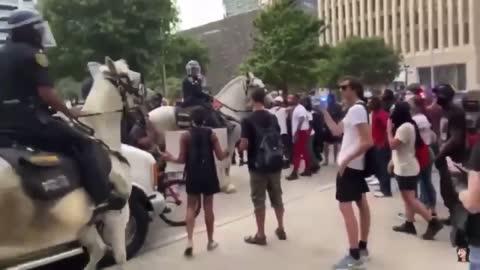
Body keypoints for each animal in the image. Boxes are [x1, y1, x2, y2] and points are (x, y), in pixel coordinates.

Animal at [0, 57, 141, 270]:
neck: (101, 133)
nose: (155, 95)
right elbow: (120, 258)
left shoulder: (84, 224)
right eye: (129, 76)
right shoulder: (116, 217)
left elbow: (98, 251)